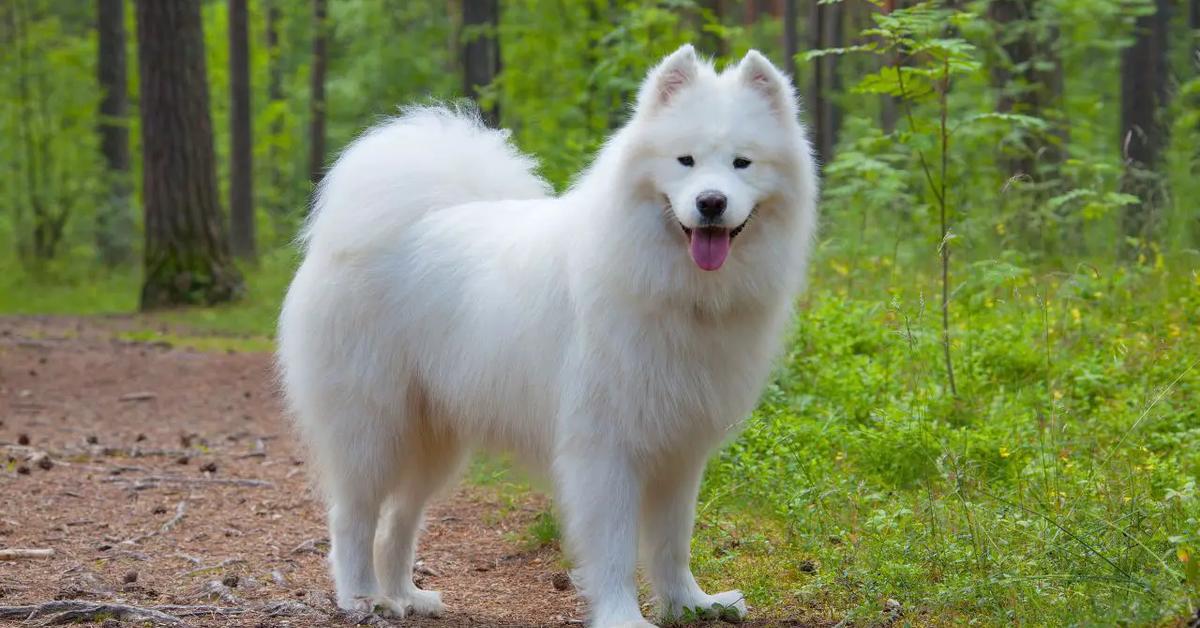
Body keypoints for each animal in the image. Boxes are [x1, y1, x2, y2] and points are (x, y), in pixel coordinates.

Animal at [277, 45, 820, 628]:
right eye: (685, 161)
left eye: (743, 163)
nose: (712, 203)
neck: (674, 287)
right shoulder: (604, 447)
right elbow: (614, 547)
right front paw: (623, 615)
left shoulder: (680, 449)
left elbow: (672, 542)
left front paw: (691, 604)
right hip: (373, 427)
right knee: (353, 516)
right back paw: (362, 597)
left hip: (435, 440)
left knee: (400, 519)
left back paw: (406, 596)